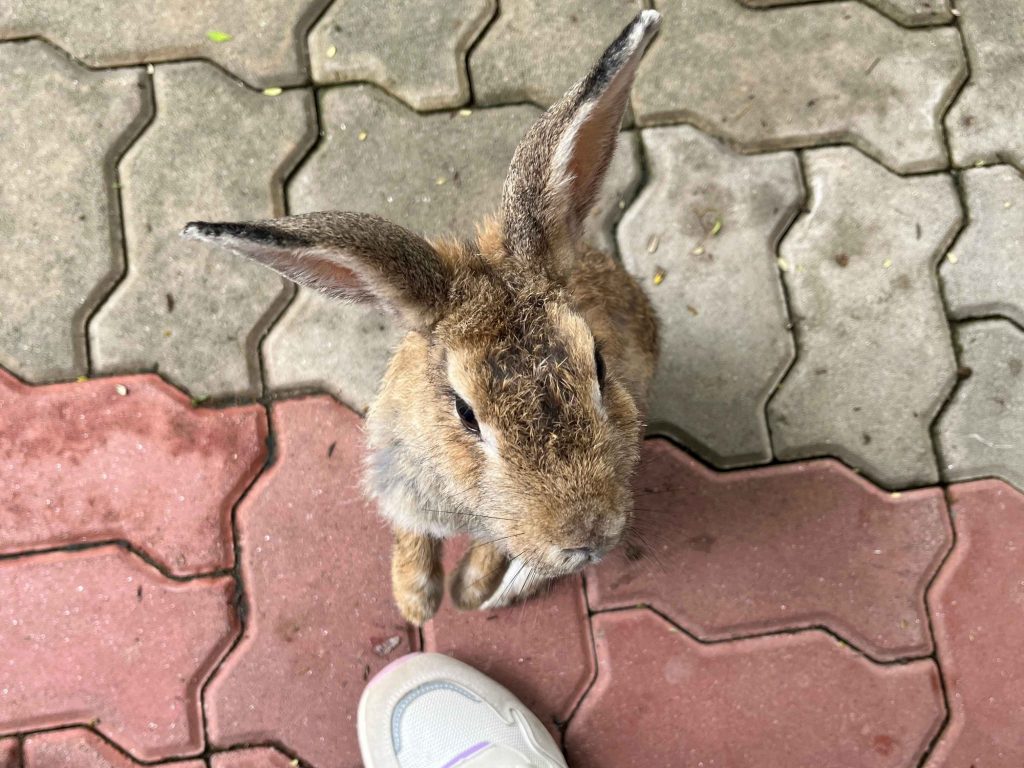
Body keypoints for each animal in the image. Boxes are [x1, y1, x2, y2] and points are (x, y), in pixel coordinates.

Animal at [182, 10, 661, 625]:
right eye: (464, 413)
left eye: (598, 367)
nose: (586, 537)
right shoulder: (400, 480)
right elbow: (412, 532)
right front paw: (416, 601)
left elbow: (490, 548)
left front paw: (469, 592)